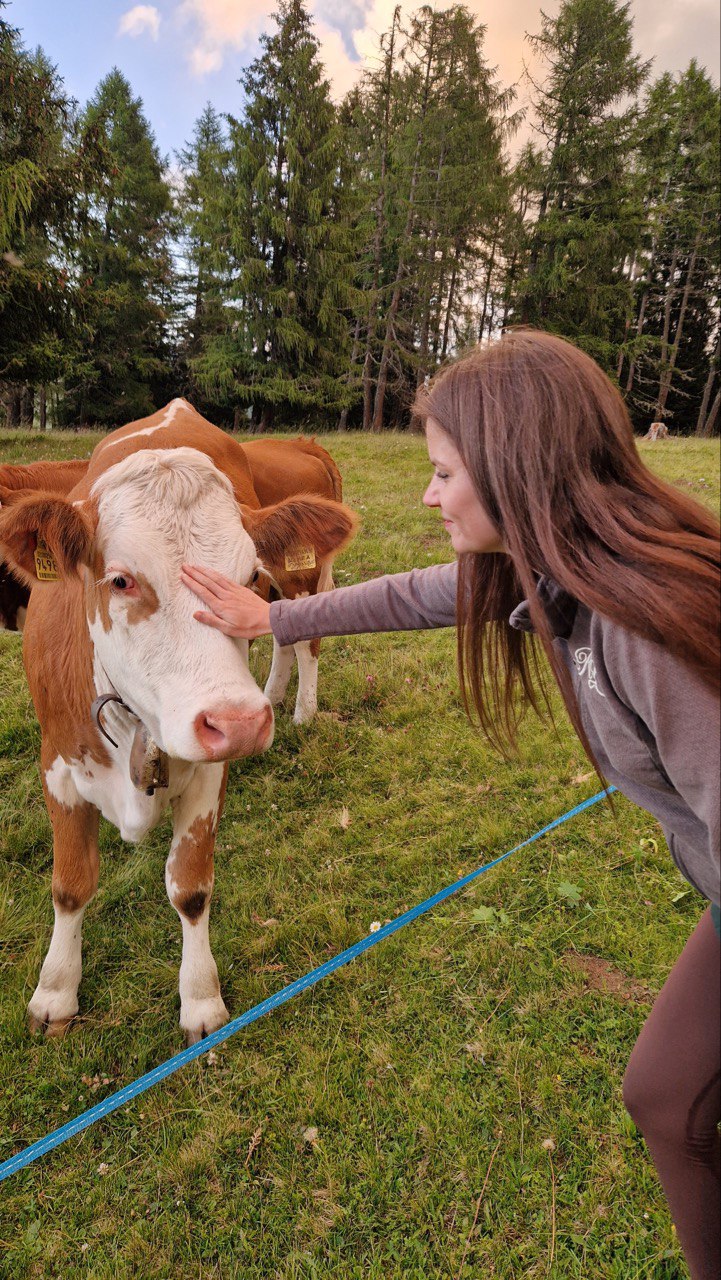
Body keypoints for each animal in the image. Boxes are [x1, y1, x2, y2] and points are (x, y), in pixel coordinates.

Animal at [0, 399, 357, 1042]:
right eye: (121, 579)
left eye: (247, 577)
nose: (240, 721)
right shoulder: (57, 766)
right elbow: (70, 885)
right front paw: (56, 990)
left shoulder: (208, 777)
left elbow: (191, 888)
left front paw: (201, 1000)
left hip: (299, 583)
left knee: (304, 635)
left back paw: (298, 710)